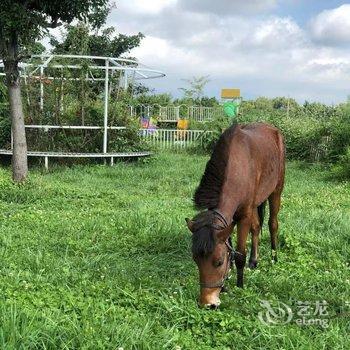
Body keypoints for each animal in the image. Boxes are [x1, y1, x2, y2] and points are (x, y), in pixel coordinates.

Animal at [186, 122, 284, 306]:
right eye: (195, 259)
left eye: (218, 262)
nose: (207, 303)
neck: (237, 169)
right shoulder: (230, 219)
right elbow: (229, 243)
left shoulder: (244, 215)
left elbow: (240, 254)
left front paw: (240, 285)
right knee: (256, 227)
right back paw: (254, 260)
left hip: (277, 190)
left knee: (272, 224)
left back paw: (274, 257)